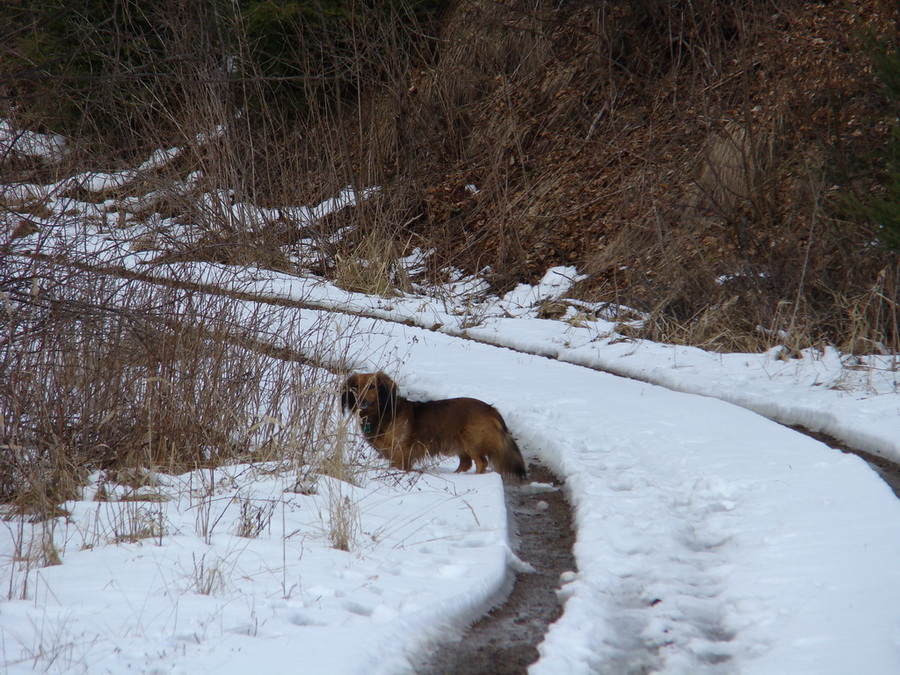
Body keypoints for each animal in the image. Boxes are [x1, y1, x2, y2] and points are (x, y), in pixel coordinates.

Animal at [342, 374, 528, 480]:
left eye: (372, 387)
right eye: (355, 387)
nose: (362, 401)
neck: (384, 412)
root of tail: (491, 409)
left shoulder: (399, 452)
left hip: (471, 440)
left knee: (481, 462)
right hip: (460, 443)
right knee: (466, 463)